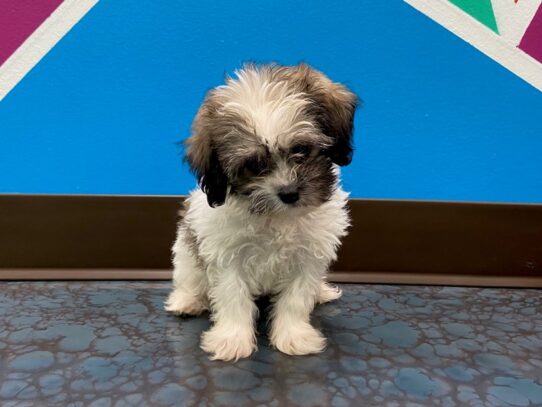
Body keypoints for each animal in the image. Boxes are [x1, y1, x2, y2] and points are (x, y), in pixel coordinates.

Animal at [166, 62, 362, 362]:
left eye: (301, 149)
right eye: (254, 165)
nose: (289, 193)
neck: (277, 218)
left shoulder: (308, 255)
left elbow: (296, 299)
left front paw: (294, 336)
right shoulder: (227, 255)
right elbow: (232, 296)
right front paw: (232, 339)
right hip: (186, 254)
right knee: (190, 279)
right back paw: (187, 301)